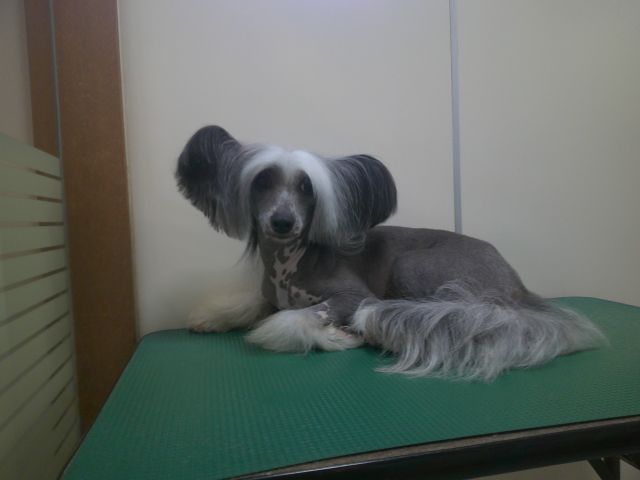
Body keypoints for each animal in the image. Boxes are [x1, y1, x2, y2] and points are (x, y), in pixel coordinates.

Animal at [176, 125, 605, 380]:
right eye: (262, 181)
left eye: (306, 187)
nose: (282, 221)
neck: (288, 262)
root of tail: (516, 281)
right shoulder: (270, 296)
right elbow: (254, 305)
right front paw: (211, 318)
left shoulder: (353, 296)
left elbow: (292, 320)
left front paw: (334, 335)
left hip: (412, 265)